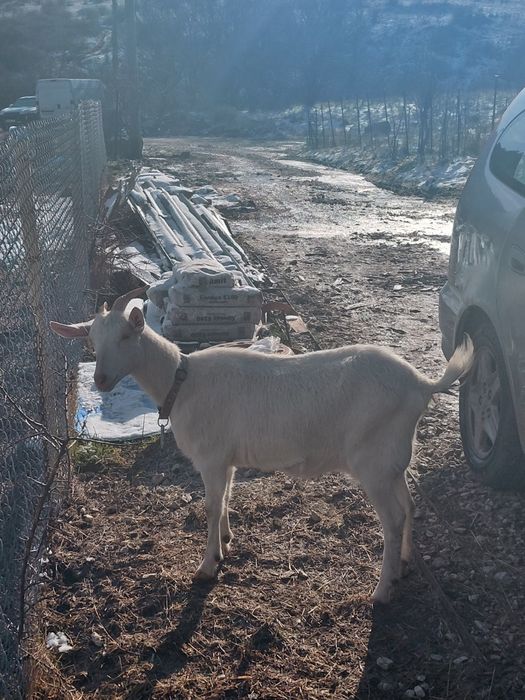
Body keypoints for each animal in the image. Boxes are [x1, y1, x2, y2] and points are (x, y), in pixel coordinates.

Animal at [51, 288, 473, 603]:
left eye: (126, 336)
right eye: (92, 340)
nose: (102, 380)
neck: (182, 381)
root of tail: (421, 384)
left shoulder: (211, 457)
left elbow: (210, 506)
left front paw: (206, 567)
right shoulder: (226, 459)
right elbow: (224, 499)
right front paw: (225, 541)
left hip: (372, 461)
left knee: (393, 518)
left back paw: (382, 591)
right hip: (393, 460)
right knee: (410, 504)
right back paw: (403, 564)